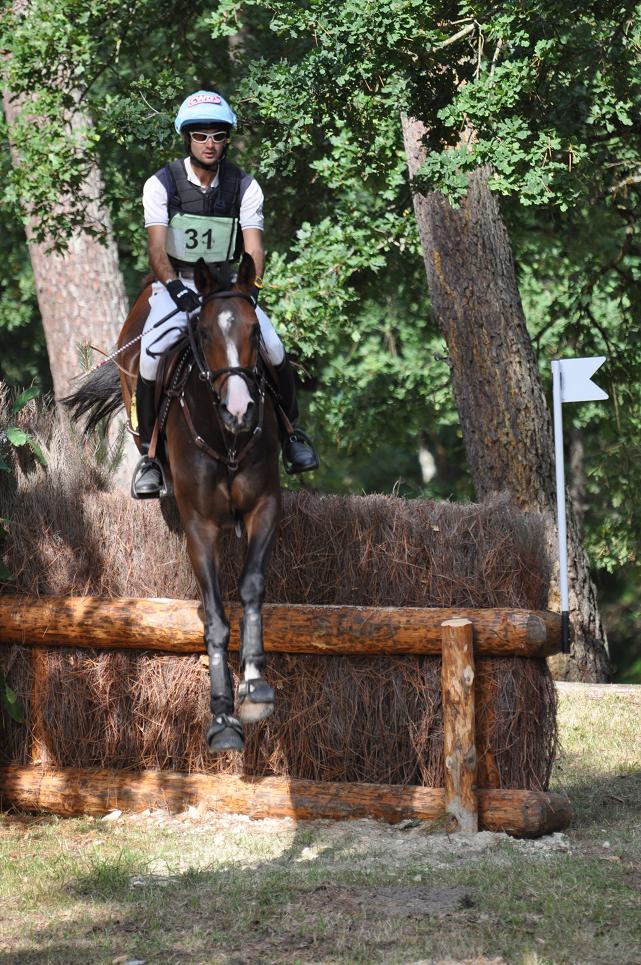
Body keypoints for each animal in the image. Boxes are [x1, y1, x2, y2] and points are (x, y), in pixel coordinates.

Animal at [64, 254, 280, 752]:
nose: (240, 410)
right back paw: (149, 473)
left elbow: (251, 587)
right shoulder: (199, 526)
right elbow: (215, 617)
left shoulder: (264, 507)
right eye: (203, 333)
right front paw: (223, 717)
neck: (227, 438)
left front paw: (255, 687)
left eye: (253, 332)